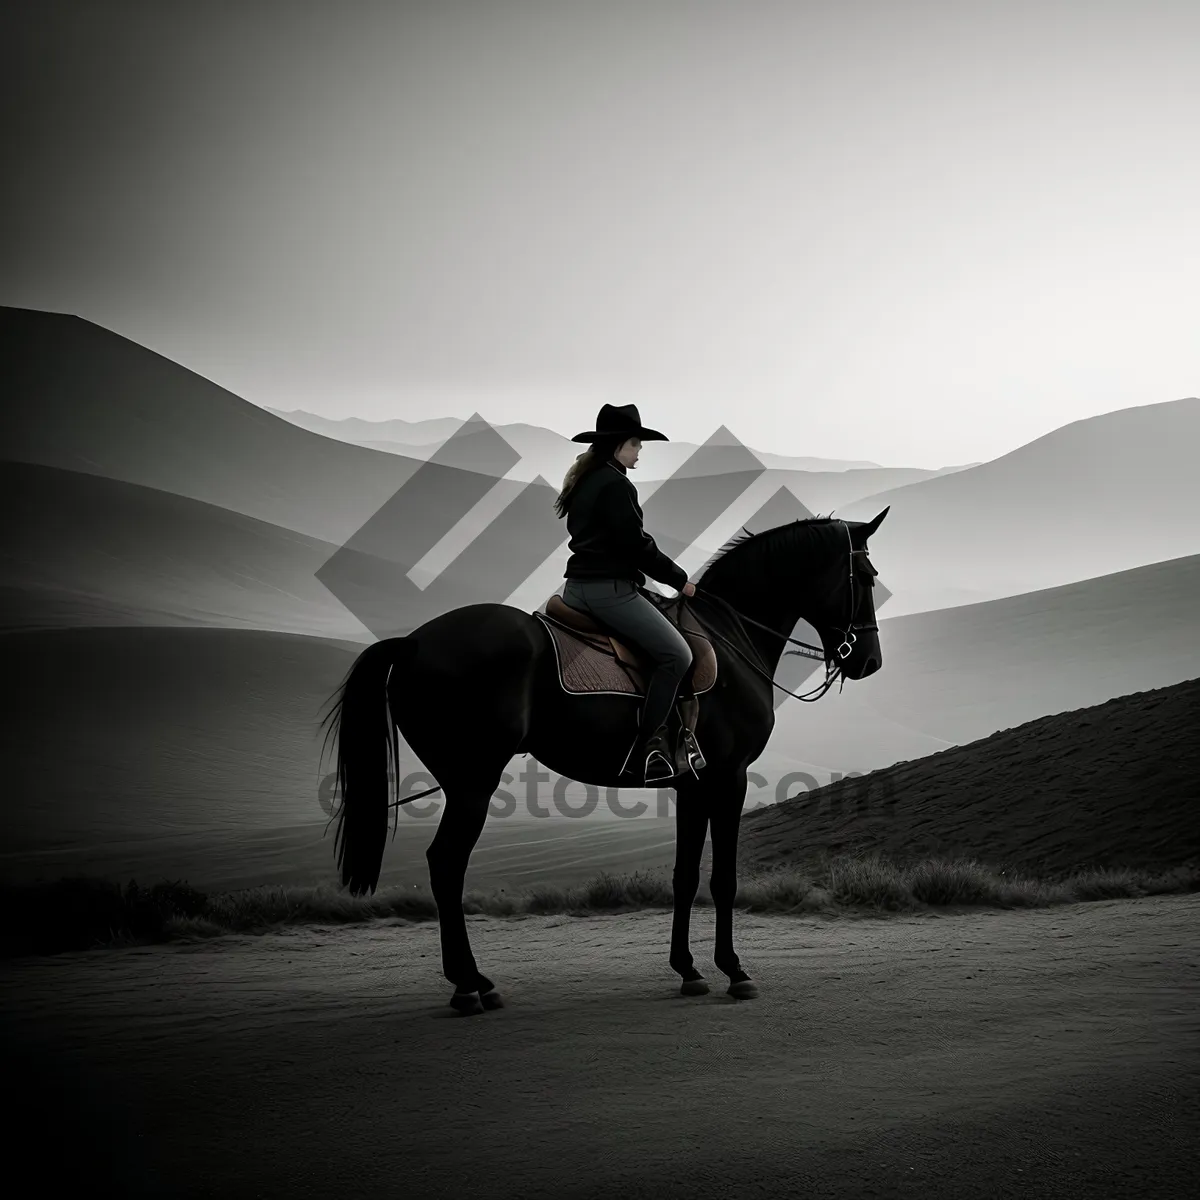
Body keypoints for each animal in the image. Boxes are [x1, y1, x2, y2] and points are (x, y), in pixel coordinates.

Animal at [324, 506, 888, 1012]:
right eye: (865, 576)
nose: (869, 662)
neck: (729, 637)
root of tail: (414, 643)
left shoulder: (693, 783)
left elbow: (685, 876)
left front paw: (688, 971)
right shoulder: (730, 778)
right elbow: (723, 880)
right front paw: (734, 971)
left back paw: (474, 982)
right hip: (472, 782)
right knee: (446, 865)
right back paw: (469, 986)